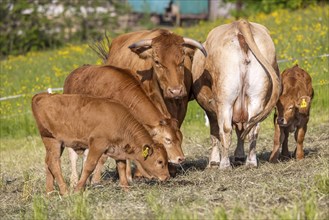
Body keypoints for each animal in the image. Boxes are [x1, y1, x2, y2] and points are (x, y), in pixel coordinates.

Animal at [30, 92, 169, 194]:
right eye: (160, 161)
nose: (167, 177)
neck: (119, 120)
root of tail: (43, 96)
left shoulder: (118, 149)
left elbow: (122, 167)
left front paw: (126, 188)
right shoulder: (98, 145)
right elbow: (89, 166)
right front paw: (78, 189)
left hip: (57, 144)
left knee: (48, 162)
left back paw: (49, 192)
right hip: (52, 140)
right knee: (53, 163)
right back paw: (65, 191)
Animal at [191, 19, 280, 168]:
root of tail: (240, 22)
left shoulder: (211, 109)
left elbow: (215, 132)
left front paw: (214, 161)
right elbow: (241, 130)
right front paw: (239, 156)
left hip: (225, 99)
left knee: (226, 130)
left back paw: (224, 164)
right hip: (256, 98)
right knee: (252, 129)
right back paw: (251, 162)